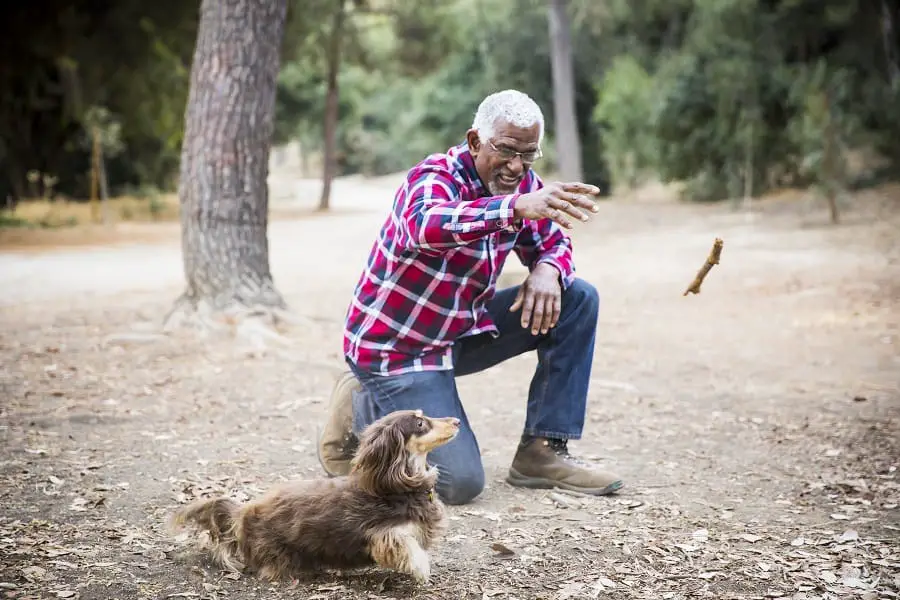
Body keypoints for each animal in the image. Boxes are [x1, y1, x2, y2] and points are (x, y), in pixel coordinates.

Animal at [170, 410, 460, 584]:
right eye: (420, 423)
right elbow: (405, 544)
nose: (457, 421)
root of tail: (243, 512)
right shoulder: (380, 533)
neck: (395, 487)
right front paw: (421, 568)